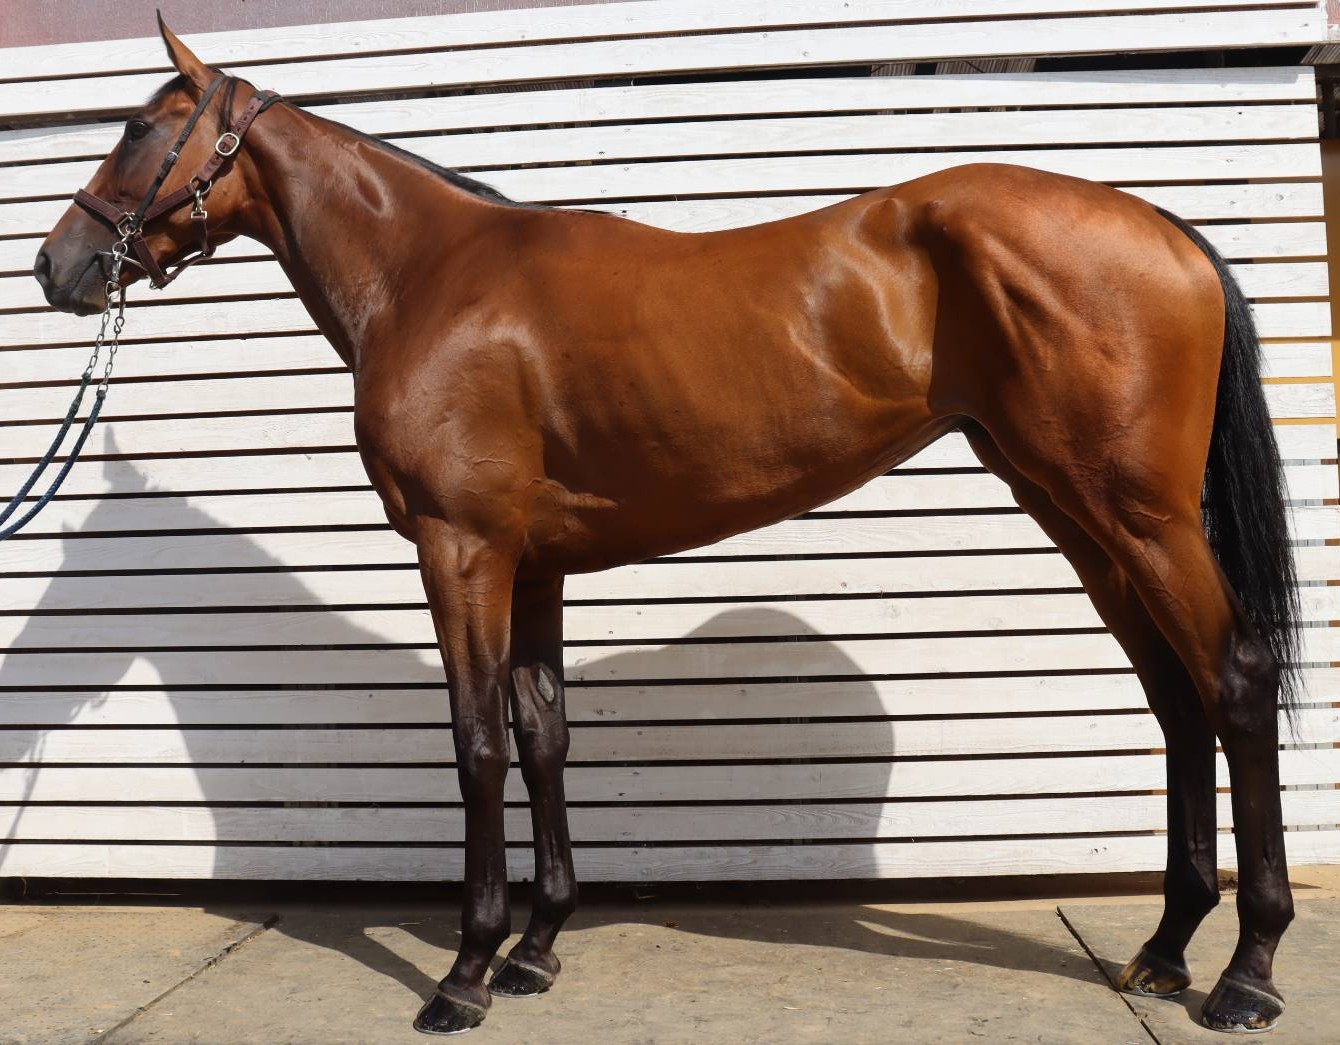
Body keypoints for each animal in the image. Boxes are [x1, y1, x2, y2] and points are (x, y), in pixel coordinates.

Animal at [32, 18, 1301, 1036]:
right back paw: (1165, 948)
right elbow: (542, 734)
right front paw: (537, 948)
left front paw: (464, 972)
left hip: (1136, 515)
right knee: (1175, 697)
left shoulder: (462, 548)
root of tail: (1158, 226)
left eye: (140, 129)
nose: (59, 267)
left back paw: (1244, 974)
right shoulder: (533, 563)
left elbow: (476, 742)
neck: (431, 278)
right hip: (1074, 512)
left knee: (1231, 681)